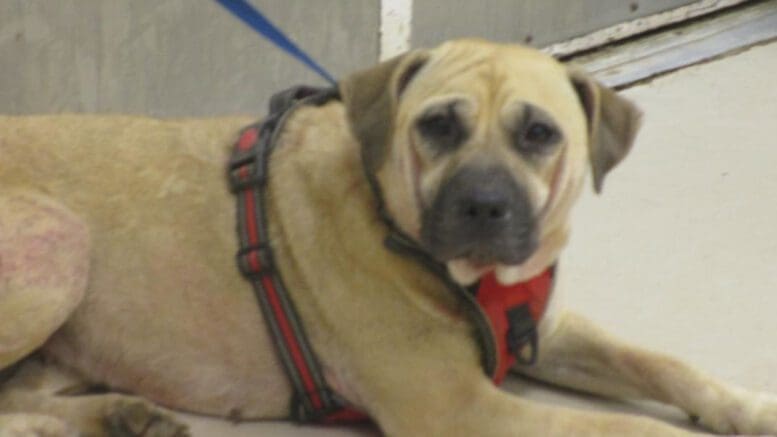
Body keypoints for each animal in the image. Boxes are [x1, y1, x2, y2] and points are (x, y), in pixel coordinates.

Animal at [1, 39, 776, 434]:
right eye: (437, 126)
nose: (483, 207)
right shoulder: (462, 409)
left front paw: (748, 406)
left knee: (15, 397)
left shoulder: (549, 332)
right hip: (59, 245)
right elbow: (629, 429)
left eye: (539, 134)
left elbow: (662, 363)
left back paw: (117, 415)